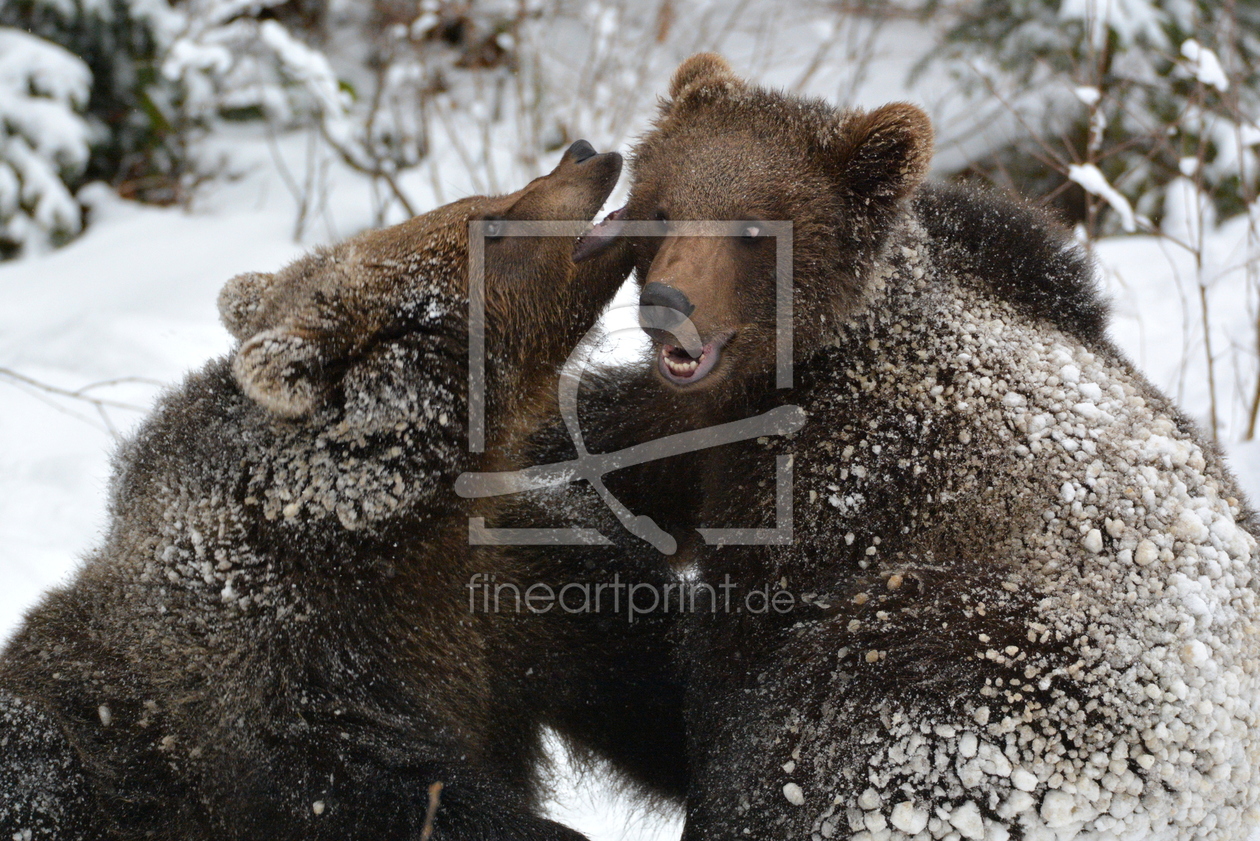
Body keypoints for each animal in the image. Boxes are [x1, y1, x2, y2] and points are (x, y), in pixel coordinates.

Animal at [0, 141, 680, 837]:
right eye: (491, 219)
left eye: (485, 199)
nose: (584, 154)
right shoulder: (297, 686)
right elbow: (399, 791)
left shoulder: (515, 582)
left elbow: (648, 678)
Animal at [614, 54, 1260, 841]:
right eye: (661, 206)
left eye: (754, 225)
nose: (668, 306)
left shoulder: (848, 481)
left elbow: (736, 658)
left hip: (1035, 684)